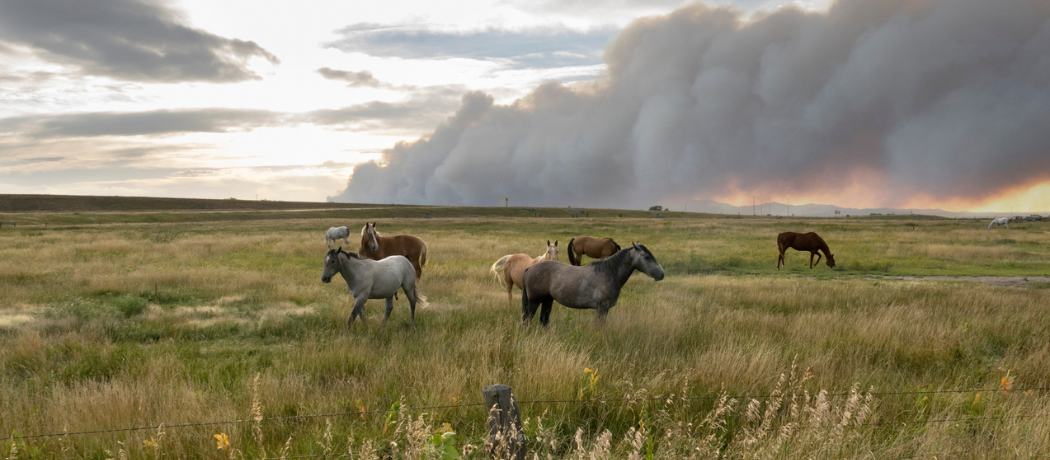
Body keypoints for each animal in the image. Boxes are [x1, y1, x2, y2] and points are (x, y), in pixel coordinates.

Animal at [521, 242, 664, 326]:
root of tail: (530, 269)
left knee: (543, 320)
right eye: (647, 257)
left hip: (547, 300)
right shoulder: (602, 308)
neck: (608, 273)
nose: (662, 274)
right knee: (527, 319)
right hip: (534, 301)